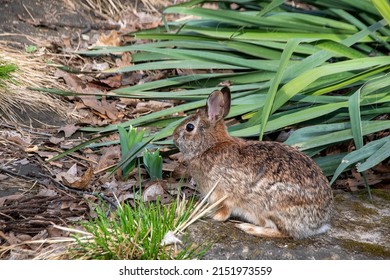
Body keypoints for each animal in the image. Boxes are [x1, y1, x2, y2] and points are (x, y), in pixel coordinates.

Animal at [175, 86, 334, 238]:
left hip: (272, 208)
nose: (174, 137)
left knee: (284, 233)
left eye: (189, 127)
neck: (209, 146)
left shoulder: (221, 194)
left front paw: (209, 215)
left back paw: (249, 228)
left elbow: (223, 213)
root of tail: (320, 223)